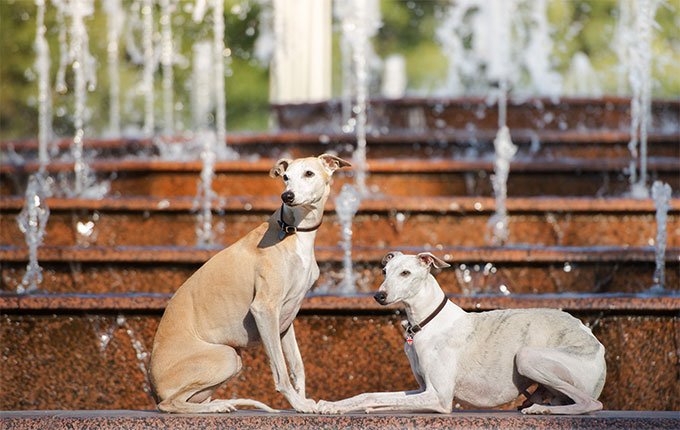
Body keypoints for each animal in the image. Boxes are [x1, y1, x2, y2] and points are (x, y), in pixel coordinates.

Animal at [149, 155, 350, 414]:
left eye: (309, 173)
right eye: (286, 177)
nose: (287, 196)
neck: (293, 232)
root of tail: (154, 386)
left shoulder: (286, 318)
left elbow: (297, 366)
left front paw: (303, 402)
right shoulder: (264, 310)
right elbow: (281, 370)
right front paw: (297, 403)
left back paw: (220, 403)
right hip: (226, 356)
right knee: (169, 403)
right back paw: (214, 407)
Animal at [318, 252, 604, 414]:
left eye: (406, 272)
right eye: (384, 271)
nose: (379, 296)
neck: (427, 322)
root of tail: (596, 344)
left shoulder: (439, 397)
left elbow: (379, 400)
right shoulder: (421, 388)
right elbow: (370, 395)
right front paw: (330, 406)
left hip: (527, 357)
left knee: (592, 404)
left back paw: (540, 411)